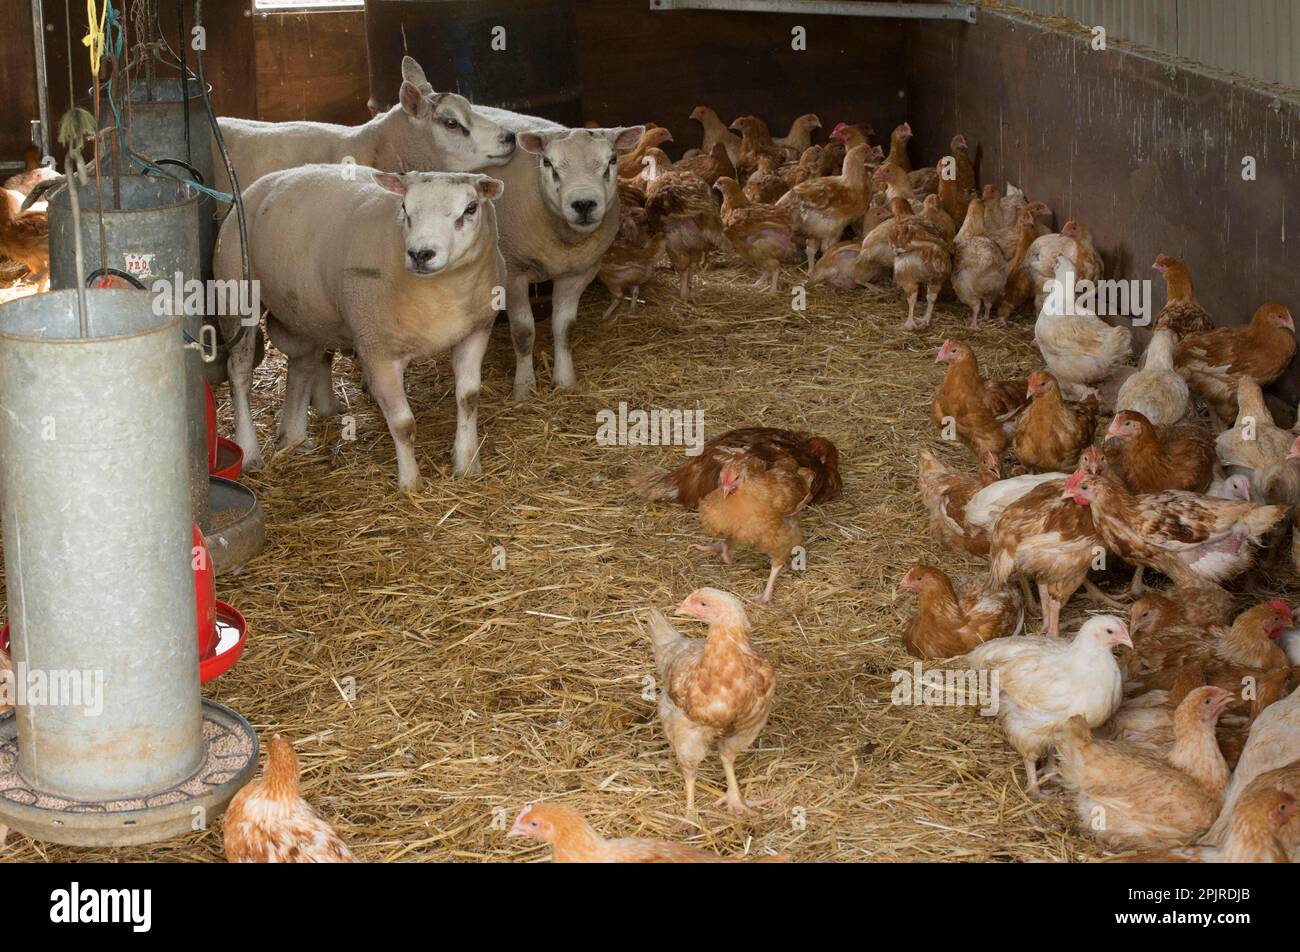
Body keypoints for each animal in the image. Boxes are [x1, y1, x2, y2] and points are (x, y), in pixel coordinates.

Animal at [213, 163, 501, 486]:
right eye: (405, 207)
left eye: (471, 208)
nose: (420, 254)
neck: (444, 294)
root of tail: (260, 184)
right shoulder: (378, 351)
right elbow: (403, 424)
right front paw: (410, 484)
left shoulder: (476, 333)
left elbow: (468, 399)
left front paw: (467, 465)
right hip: (236, 292)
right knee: (239, 374)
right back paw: (250, 451)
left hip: (306, 310)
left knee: (303, 363)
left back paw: (293, 437)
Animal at [473, 106, 644, 397]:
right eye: (548, 163)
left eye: (612, 160)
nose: (584, 204)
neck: (562, 238)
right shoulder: (513, 273)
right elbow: (523, 332)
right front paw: (524, 388)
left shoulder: (579, 272)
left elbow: (565, 329)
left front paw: (564, 381)